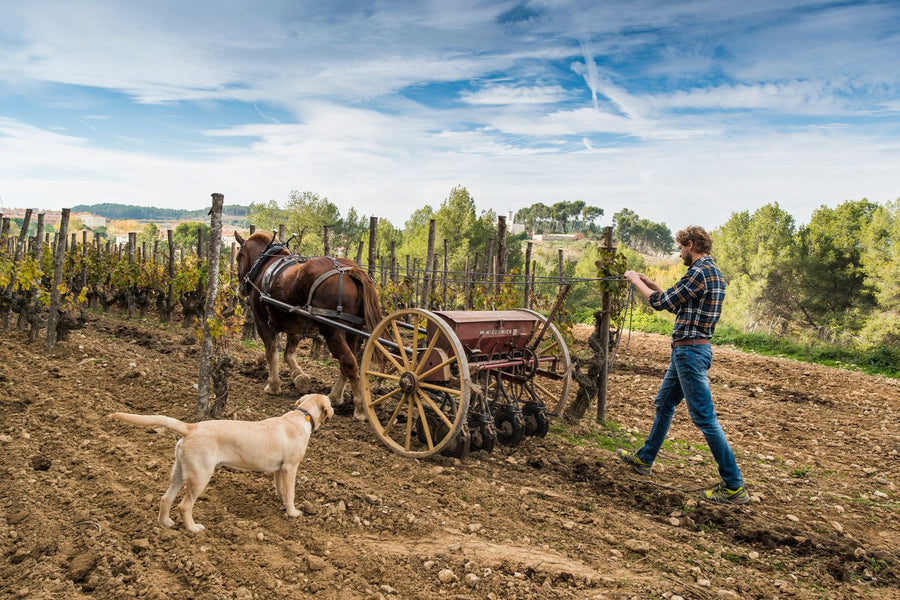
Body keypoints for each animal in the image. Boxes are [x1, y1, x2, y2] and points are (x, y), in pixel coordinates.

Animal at [110, 394, 334, 536]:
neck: (303, 415)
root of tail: (191, 428)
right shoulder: (290, 467)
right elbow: (291, 493)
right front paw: (293, 513)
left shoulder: (280, 469)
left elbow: (281, 489)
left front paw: (282, 502)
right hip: (201, 475)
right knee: (184, 506)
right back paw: (193, 529)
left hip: (180, 472)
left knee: (166, 499)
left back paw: (166, 523)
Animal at [234, 231, 382, 422]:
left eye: (238, 256)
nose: (241, 289)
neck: (266, 264)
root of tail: (351, 270)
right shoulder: (296, 322)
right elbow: (289, 352)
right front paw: (300, 377)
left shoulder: (262, 323)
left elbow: (271, 352)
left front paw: (273, 386)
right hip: (351, 331)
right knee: (349, 362)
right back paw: (335, 396)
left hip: (332, 331)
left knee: (348, 362)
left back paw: (360, 409)